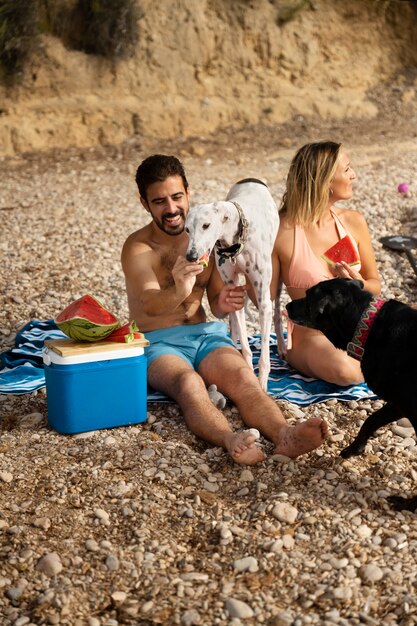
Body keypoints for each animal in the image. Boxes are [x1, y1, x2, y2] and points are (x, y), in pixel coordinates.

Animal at [184, 177, 280, 390]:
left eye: (206, 225)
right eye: (186, 229)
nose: (191, 256)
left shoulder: (264, 301)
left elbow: (264, 357)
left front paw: (262, 385)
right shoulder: (233, 292)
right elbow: (245, 347)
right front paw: (248, 373)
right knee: (234, 325)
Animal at [286, 280, 416, 512]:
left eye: (308, 296)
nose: (287, 306)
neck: (368, 326)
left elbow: (371, 420)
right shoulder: (397, 405)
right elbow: (371, 420)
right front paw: (354, 449)